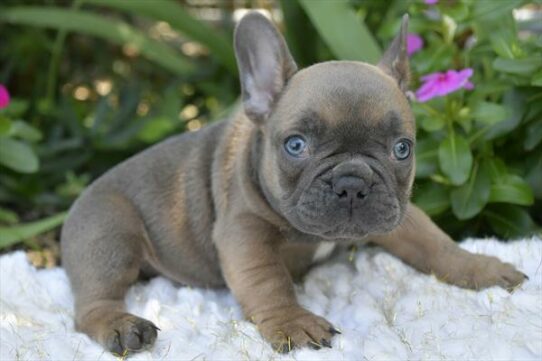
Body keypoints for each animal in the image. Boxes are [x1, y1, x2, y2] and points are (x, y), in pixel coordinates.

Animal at [61, 11, 528, 354]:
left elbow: (437, 244)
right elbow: (269, 281)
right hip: (108, 234)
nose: (352, 181)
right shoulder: (243, 232)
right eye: (296, 145)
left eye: (402, 149)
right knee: (90, 304)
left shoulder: (400, 213)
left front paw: (482, 267)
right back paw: (121, 325)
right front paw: (292, 322)